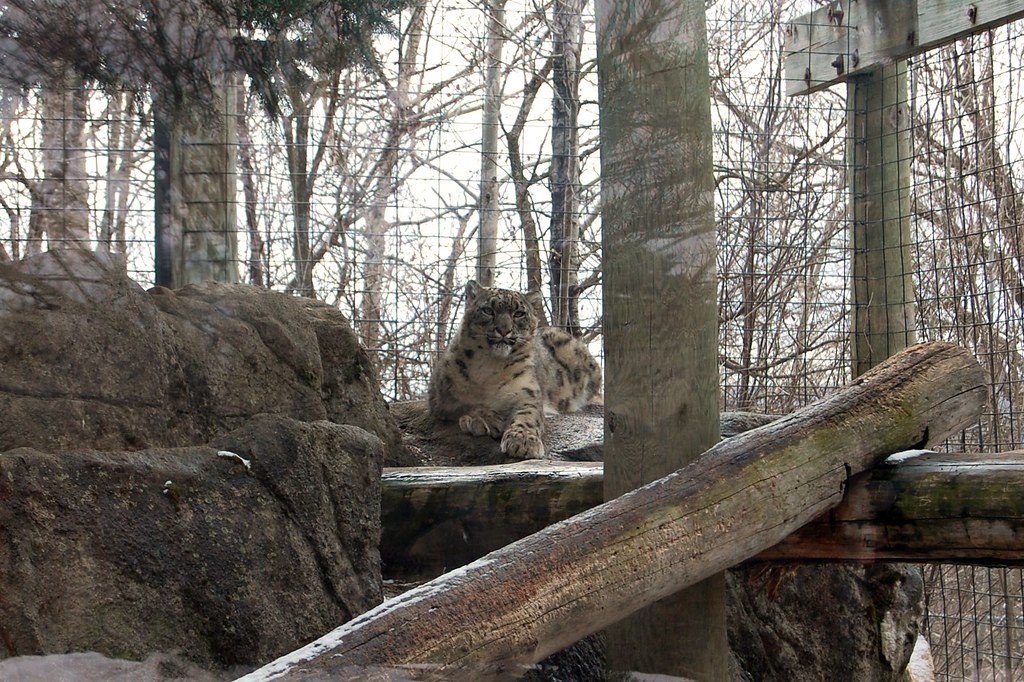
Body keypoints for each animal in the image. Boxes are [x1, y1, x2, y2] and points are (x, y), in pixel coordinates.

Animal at [428, 280, 602, 459]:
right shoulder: (442, 396)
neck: (491, 365)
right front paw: (483, 420)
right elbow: (468, 404)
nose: (504, 330)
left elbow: (529, 416)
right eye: (488, 310)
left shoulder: (527, 393)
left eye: (519, 313)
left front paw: (523, 441)